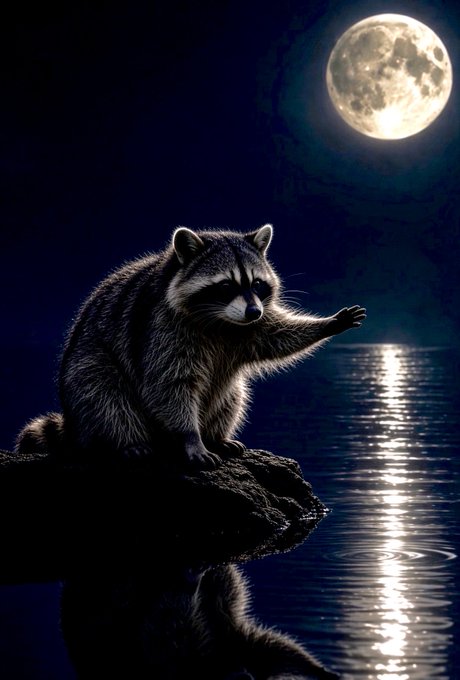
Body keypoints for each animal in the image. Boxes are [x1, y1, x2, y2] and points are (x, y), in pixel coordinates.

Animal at [16, 224, 366, 466]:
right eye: (225, 286)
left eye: (256, 283)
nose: (254, 311)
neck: (221, 320)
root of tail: (74, 427)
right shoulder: (160, 329)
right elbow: (168, 384)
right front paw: (190, 439)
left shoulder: (247, 329)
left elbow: (276, 336)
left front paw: (326, 324)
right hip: (86, 373)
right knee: (103, 391)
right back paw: (126, 441)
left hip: (225, 391)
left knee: (234, 395)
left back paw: (217, 436)